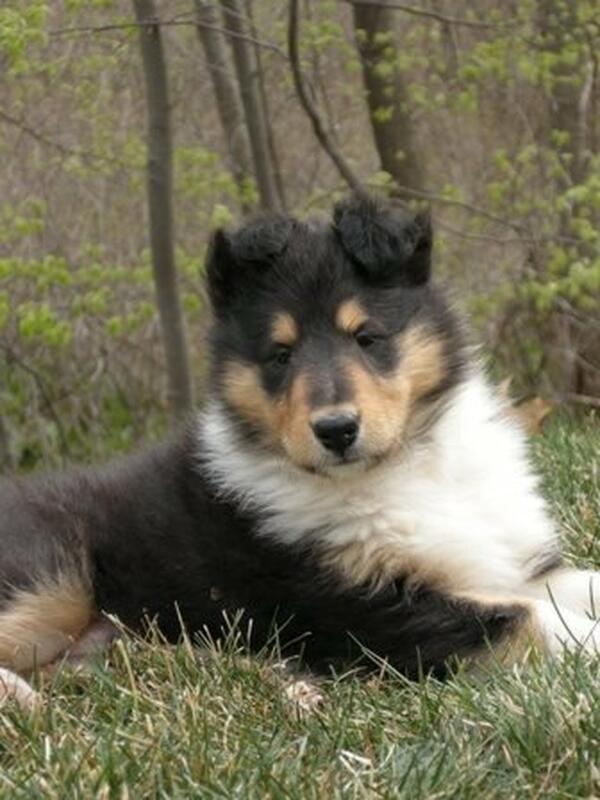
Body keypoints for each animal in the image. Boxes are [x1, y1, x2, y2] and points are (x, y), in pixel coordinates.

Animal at [0, 193, 597, 709]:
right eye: (280, 355)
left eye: (366, 337)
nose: (336, 430)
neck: (410, 464)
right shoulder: (363, 611)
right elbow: (531, 618)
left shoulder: (516, 568)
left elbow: (572, 587)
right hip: (54, 577)